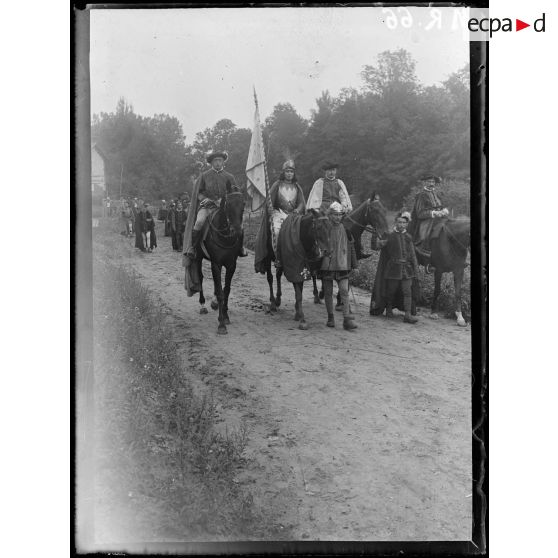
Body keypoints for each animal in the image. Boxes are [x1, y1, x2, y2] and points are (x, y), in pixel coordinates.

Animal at [196, 188, 246, 336]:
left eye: (243, 204)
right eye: (228, 205)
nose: (237, 231)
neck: (225, 238)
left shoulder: (231, 265)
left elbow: (226, 290)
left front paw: (226, 316)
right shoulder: (216, 264)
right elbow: (220, 292)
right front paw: (221, 324)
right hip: (197, 257)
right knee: (200, 277)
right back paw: (203, 305)